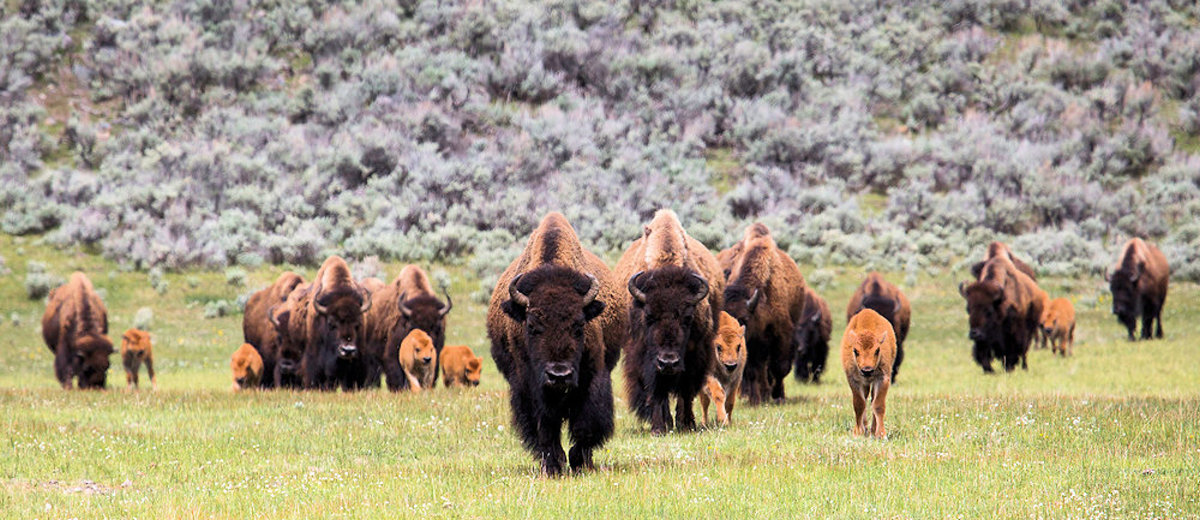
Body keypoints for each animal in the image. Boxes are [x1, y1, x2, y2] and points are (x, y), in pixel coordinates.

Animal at [487, 212, 629, 476]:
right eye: (531, 326)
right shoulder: (529, 386)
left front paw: (580, 462)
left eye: (579, 324)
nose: (559, 375)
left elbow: (586, 423)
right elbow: (545, 427)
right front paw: (553, 465)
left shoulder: (592, 376)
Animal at [616, 210, 724, 435]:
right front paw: (658, 427)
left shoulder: (695, 355)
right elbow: (657, 391)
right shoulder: (644, 358)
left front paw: (688, 424)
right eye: (649, 316)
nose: (668, 362)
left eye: (687, 317)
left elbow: (686, 390)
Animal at [722, 223, 807, 404]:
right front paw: (755, 400)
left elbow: (779, 368)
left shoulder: (781, 335)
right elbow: (753, 371)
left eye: (744, 319)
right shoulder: (752, 346)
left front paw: (778, 396)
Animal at [841, 308, 896, 438]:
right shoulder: (853, 380)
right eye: (855, 350)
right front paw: (858, 432)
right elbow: (859, 404)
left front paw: (881, 434)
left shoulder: (882, 379)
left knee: (872, 400)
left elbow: (878, 405)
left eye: (877, 350)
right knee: (866, 400)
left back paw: (872, 430)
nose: (867, 370)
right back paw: (865, 428)